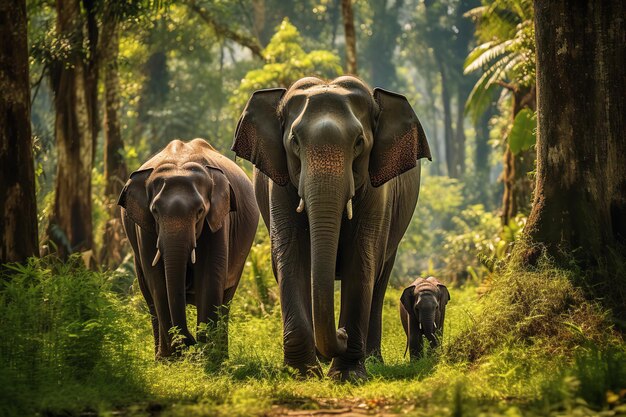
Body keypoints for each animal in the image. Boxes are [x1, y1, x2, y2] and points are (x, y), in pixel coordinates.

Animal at [118, 139, 258, 358]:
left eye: (200, 211)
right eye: (155, 211)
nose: (190, 342)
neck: (180, 161)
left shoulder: (219, 220)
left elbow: (210, 277)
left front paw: (207, 357)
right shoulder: (144, 229)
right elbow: (157, 280)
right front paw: (173, 358)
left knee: (226, 299)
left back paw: (221, 356)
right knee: (149, 298)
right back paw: (161, 358)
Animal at [232, 75, 432, 380]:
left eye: (359, 142)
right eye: (294, 141)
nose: (342, 334)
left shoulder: (378, 191)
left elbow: (361, 260)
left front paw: (347, 376)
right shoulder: (278, 186)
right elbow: (291, 256)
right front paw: (302, 373)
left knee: (380, 278)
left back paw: (372, 360)